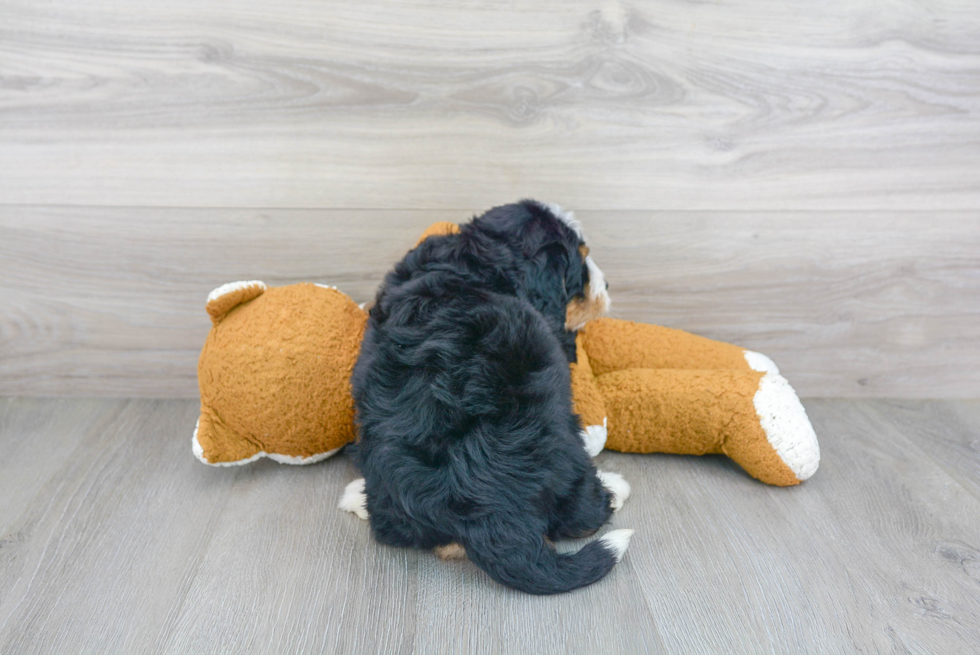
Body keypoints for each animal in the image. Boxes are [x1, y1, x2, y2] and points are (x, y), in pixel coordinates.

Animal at [344, 200, 636, 596]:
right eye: (580, 264)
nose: (607, 284)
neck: (481, 259)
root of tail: (482, 507)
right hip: (566, 446)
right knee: (584, 513)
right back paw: (615, 488)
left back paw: (355, 496)